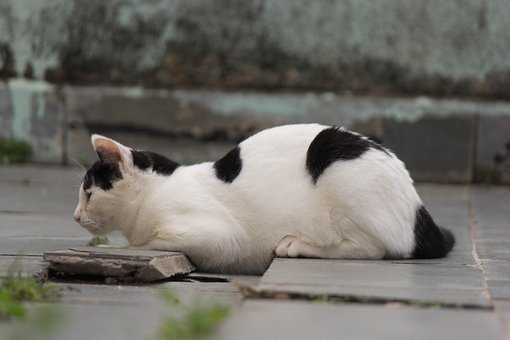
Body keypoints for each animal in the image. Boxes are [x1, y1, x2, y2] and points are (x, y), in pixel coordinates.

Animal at [71, 123, 454, 274]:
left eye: (88, 192)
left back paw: (295, 245)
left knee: (371, 248)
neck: (157, 190)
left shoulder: (218, 236)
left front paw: (116, 247)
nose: (75, 216)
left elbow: (148, 242)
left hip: (335, 163)